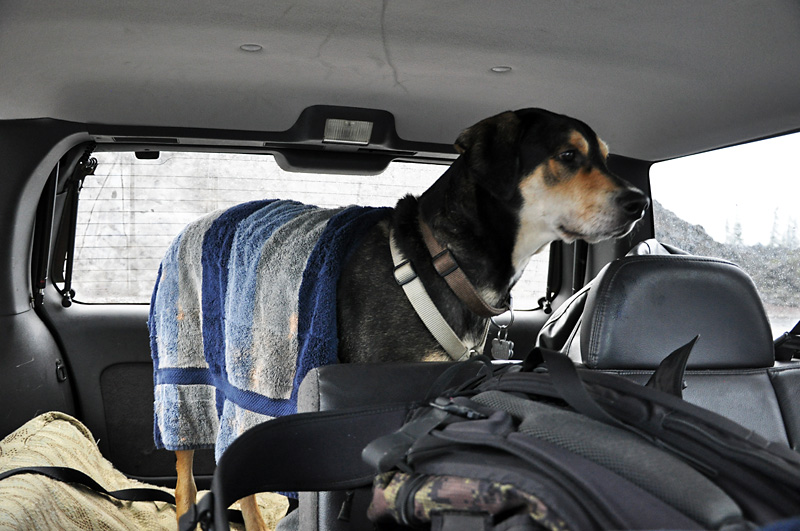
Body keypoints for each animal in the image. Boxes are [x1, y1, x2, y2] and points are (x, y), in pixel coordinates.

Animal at [169, 107, 648, 528]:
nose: (640, 202)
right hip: (186, 373)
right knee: (187, 472)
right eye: (567, 155)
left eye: (606, 157)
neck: (442, 260)